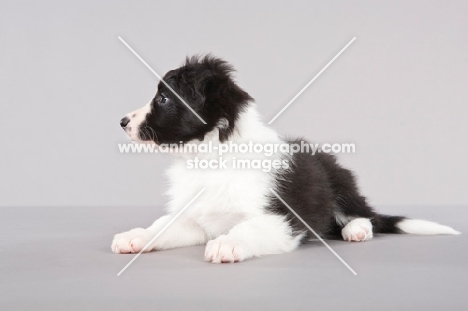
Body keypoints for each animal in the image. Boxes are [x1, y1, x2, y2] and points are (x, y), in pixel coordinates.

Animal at [111, 55, 458, 264]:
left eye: (163, 98)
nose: (123, 122)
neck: (211, 156)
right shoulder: (196, 217)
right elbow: (163, 225)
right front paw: (136, 236)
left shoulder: (283, 218)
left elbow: (248, 227)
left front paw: (226, 244)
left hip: (341, 183)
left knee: (364, 215)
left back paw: (356, 230)